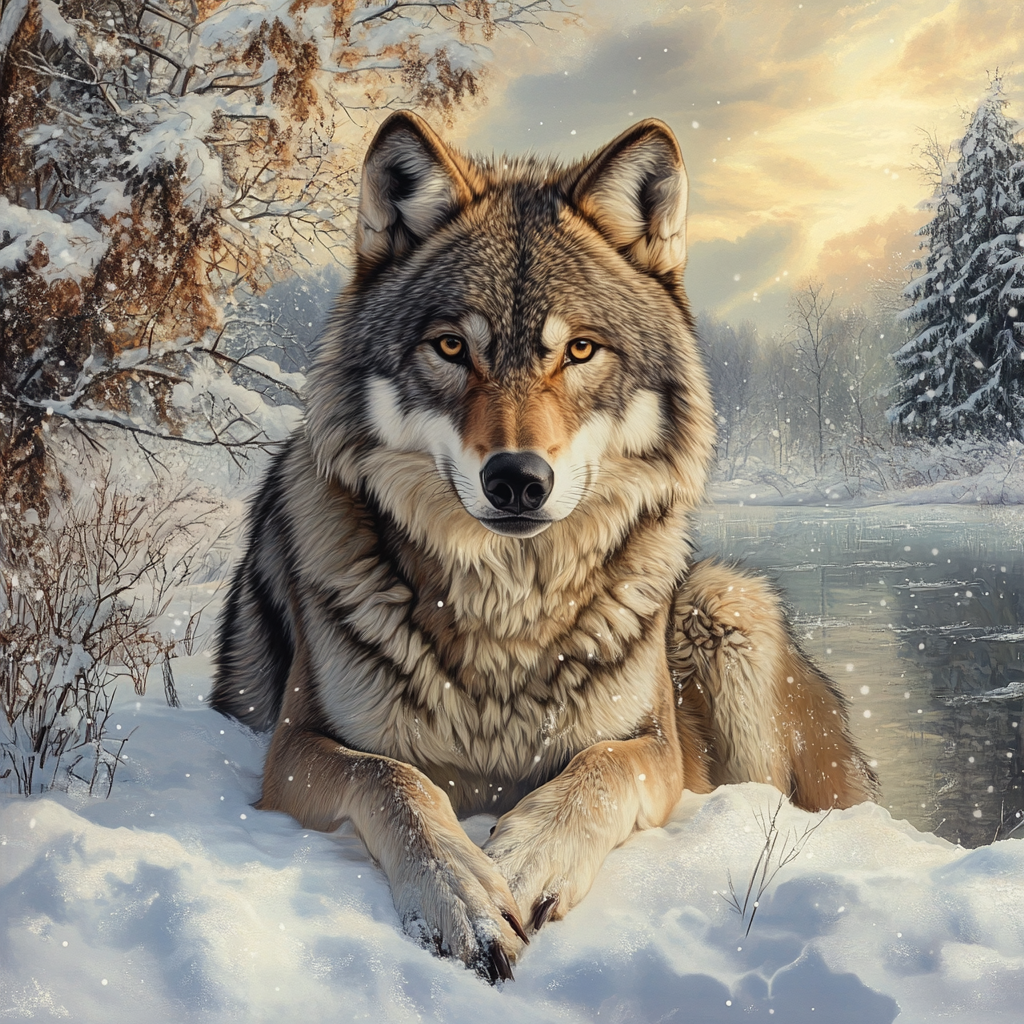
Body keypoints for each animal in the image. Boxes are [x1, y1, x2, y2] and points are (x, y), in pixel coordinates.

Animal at [212, 112, 877, 982]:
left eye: (580, 350)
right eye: (452, 348)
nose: (518, 479)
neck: (507, 607)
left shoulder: (656, 750)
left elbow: (597, 770)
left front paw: (525, 859)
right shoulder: (291, 749)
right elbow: (396, 781)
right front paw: (462, 891)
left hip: (726, 600)